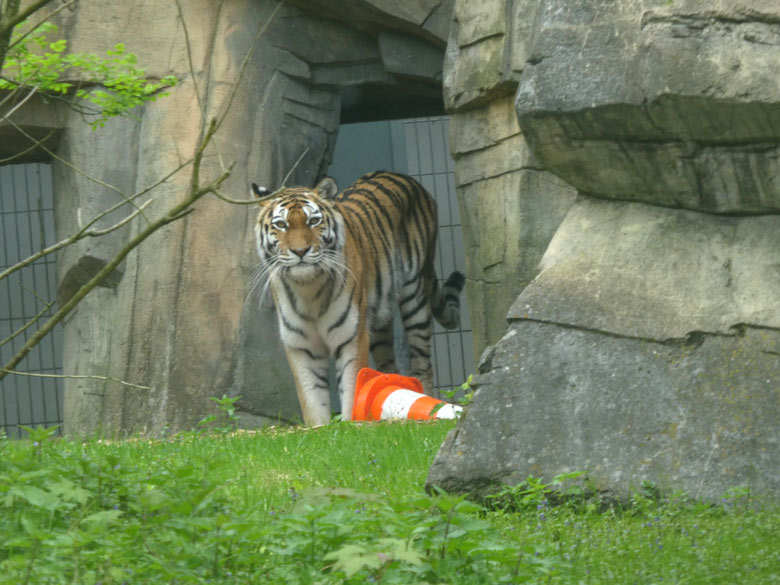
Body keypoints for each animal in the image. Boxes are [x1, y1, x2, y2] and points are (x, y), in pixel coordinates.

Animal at [253, 169, 466, 424]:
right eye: (281, 225)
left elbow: (351, 388)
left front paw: (350, 424)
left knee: (423, 361)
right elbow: (313, 400)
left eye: (313, 221)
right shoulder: (301, 345)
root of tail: (405, 177)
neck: (308, 287)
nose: (300, 251)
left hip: (415, 296)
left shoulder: (351, 336)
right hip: (379, 319)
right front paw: (319, 427)